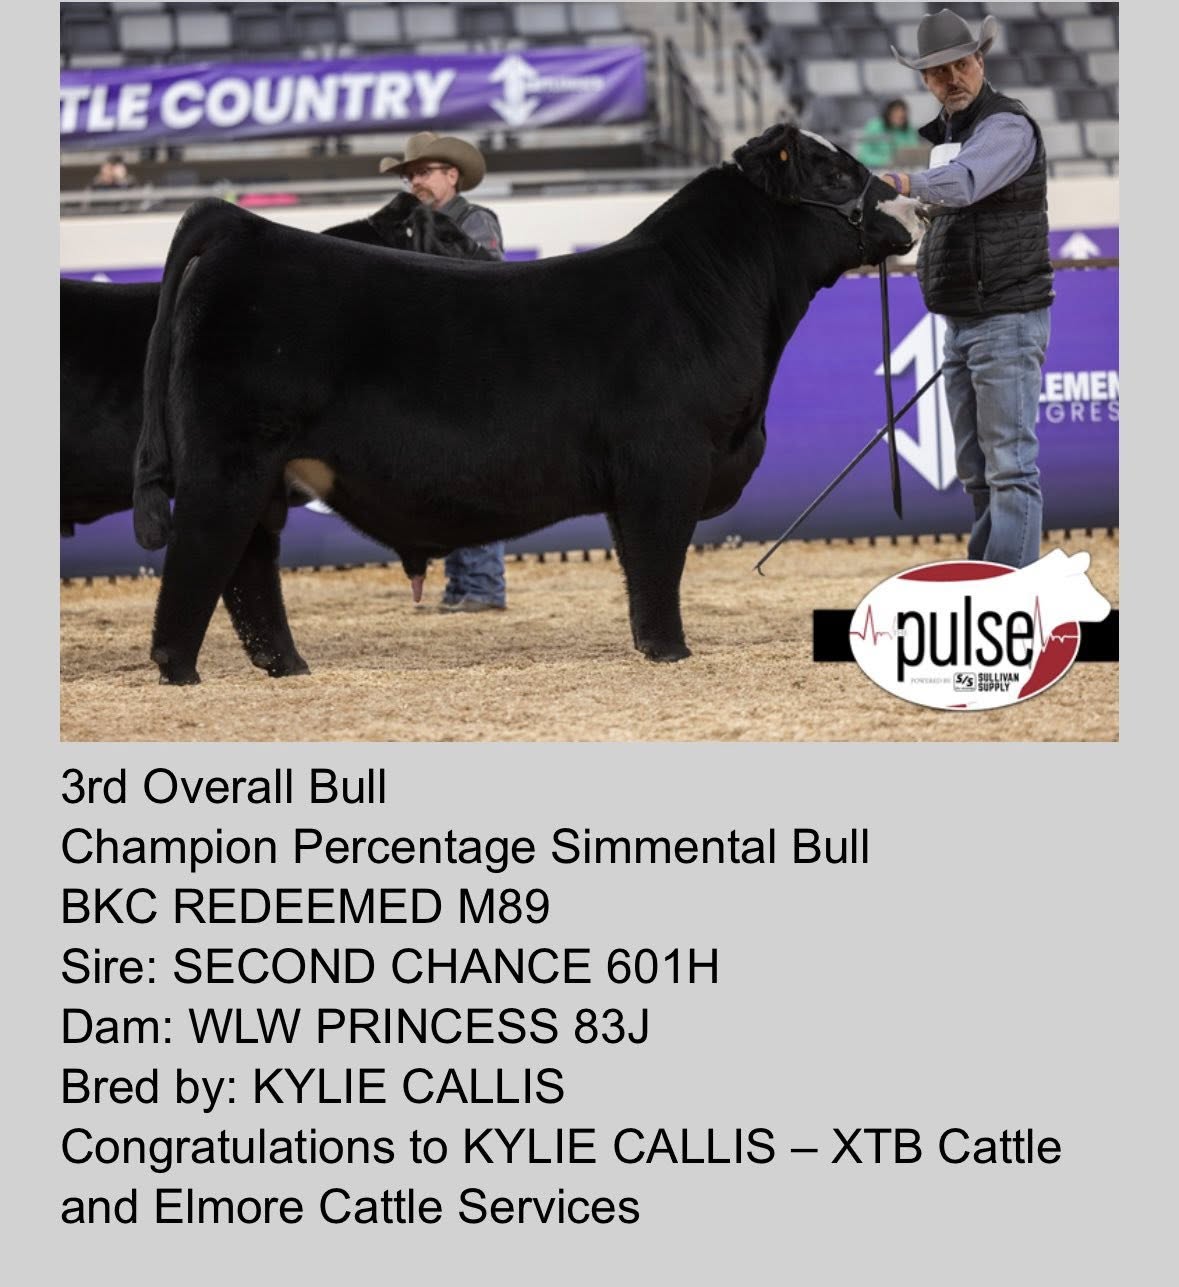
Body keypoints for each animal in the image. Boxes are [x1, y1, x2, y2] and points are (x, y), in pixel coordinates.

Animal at [133, 124, 927, 684]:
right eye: (835, 172)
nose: (915, 205)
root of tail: (246, 228)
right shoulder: (665, 464)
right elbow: (658, 562)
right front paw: (669, 651)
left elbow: (639, 564)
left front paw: (652, 647)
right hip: (230, 460)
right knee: (203, 552)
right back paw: (180, 670)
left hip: (265, 471)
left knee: (249, 566)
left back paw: (287, 666)